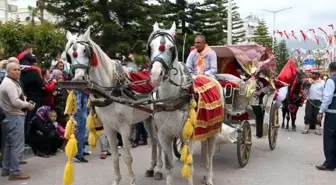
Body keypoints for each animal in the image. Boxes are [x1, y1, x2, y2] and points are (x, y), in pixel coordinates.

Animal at [64, 28, 164, 184]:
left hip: (157, 118)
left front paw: (132, 180)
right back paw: (151, 168)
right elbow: (116, 158)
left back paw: (159, 170)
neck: (112, 89)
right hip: (147, 118)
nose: (78, 80)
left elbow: (128, 157)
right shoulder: (109, 127)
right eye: (69, 54)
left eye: (85, 51)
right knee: (153, 141)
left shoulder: (124, 127)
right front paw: (116, 180)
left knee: (159, 142)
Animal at [148, 22, 219, 185]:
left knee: (211, 155)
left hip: (213, 131)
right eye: (150, 47)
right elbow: (169, 165)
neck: (170, 100)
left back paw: (209, 176)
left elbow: (189, 165)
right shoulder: (164, 136)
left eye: (171, 48)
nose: (155, 74)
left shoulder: (189, 136)